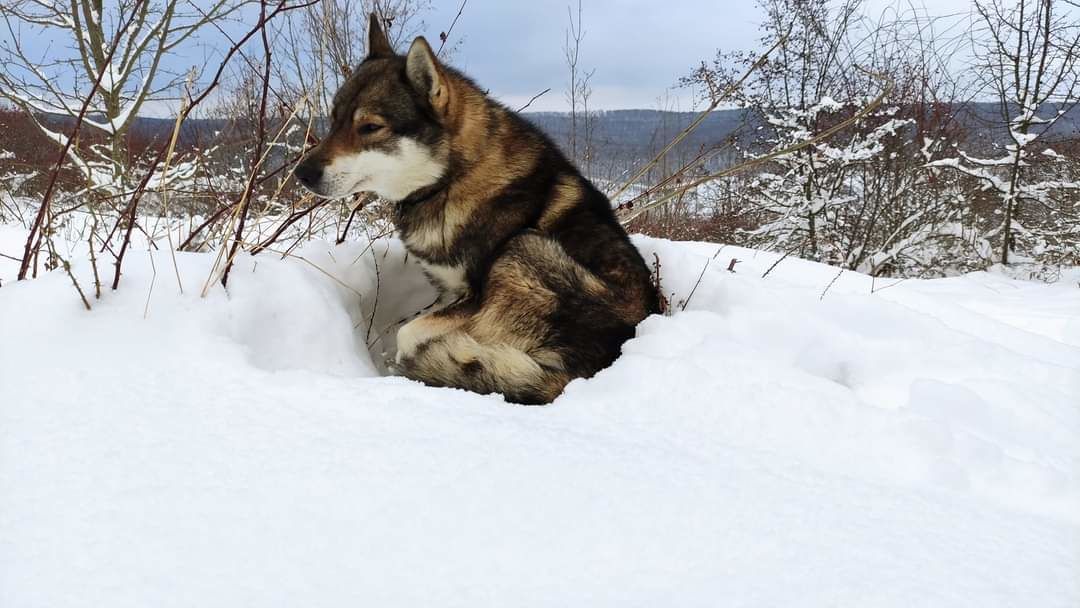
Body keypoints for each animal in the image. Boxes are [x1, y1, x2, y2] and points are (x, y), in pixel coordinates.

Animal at [295, 13, 660, 403]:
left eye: (369, 127)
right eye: (334, 119)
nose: (302, 173)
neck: (450, 180)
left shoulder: (474, 299)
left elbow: (408, 333)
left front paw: (407, 361)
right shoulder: (449, 290)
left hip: (522, 247)